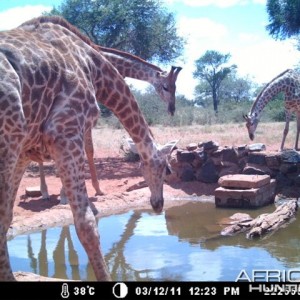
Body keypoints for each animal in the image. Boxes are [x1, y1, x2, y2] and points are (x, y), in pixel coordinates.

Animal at [0, 15, 177, 282]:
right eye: (166, 169)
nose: (158, 205)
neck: (96, 67)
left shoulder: (24, 150)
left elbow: (6, 217)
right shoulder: (66, 132)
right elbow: (86, 224)